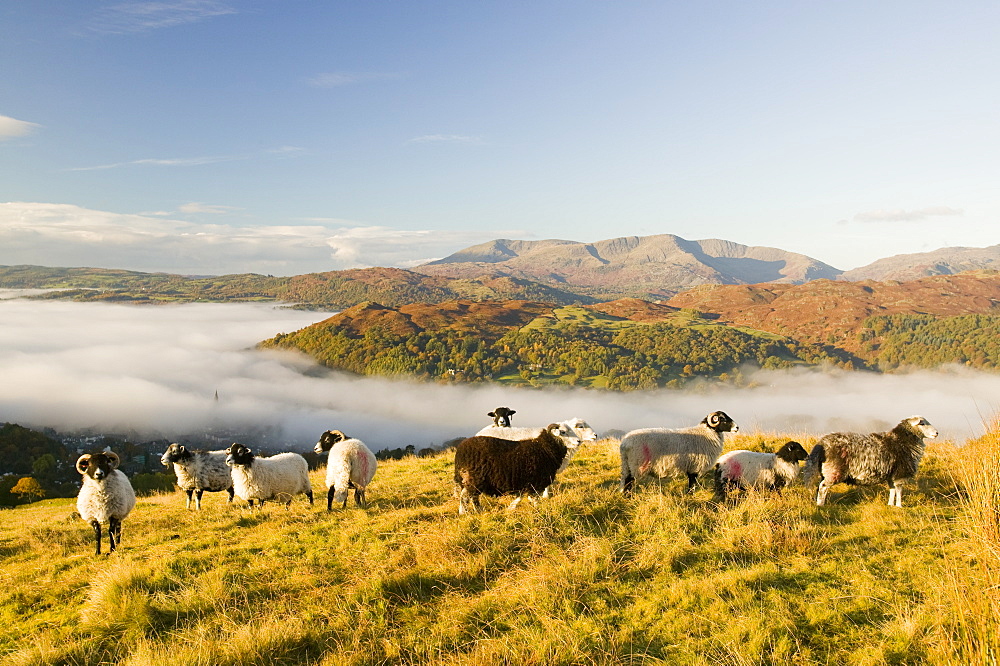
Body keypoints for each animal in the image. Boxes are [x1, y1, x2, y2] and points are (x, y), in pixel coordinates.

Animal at [616, 408, 744, 496]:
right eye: (722, 419)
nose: (737, 428)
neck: (706, 433)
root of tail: (625, 443)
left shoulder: (691, 465)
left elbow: (691, 481)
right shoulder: (695, 466)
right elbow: (692, 482)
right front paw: (690, 494)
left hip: (627, 464)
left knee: (626, 479)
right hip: (637, 463)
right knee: (629, 481)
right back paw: (628, 497)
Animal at [804, 412, 936, 506]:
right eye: (922, 423)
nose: (937, 433)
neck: (902, 441)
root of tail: (821, 443)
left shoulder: (892, 474)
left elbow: (892, 490)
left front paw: (890, 505)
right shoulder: (900, 473)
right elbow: (899, 491)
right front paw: (899, 506)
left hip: (825, 471)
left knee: (820, 486)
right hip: (833, 471)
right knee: (823, 487)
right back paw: (821, 505)